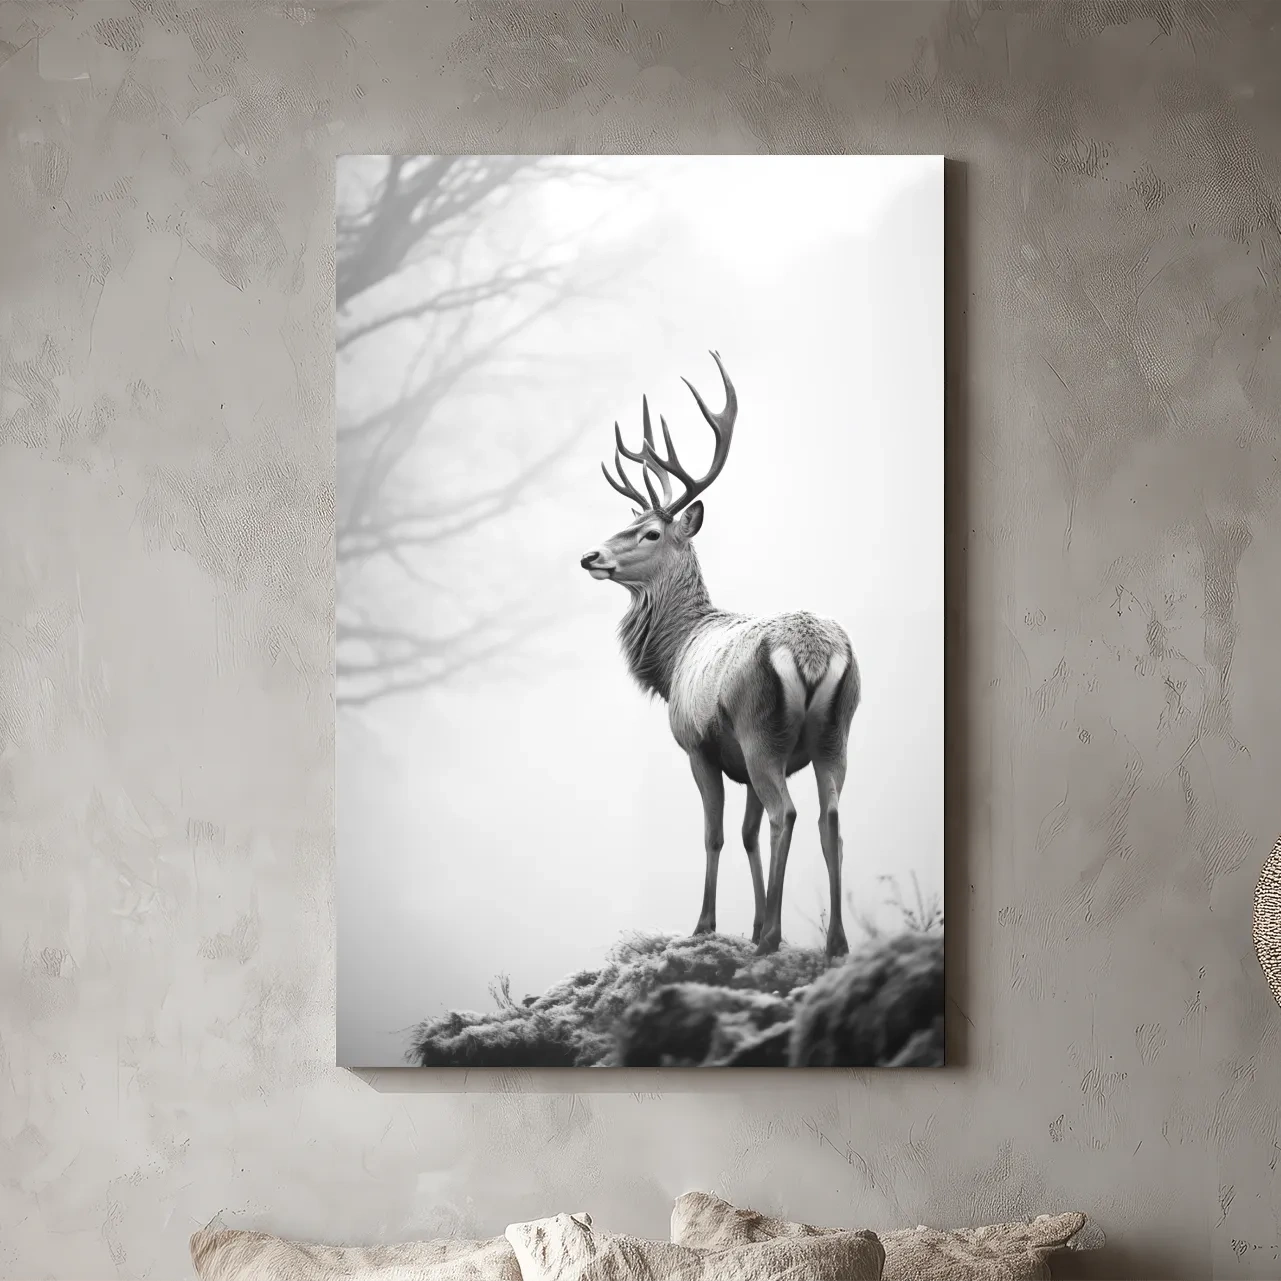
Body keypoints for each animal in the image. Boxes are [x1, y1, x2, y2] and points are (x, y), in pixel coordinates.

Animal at [580, 351, 859, 958]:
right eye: (628, 522)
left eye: (650, 532)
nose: (589, 555)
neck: (673, 657)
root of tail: (812, 653)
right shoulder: (741, 763)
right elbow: (748, 834)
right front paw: (750, 922)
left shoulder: (698, 744)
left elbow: (716, 834)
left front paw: (707, 925)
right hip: (835, 734)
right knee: (828, 818)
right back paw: (834, 943)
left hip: (760, 729)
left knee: (787, 812)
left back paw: (774, 937)